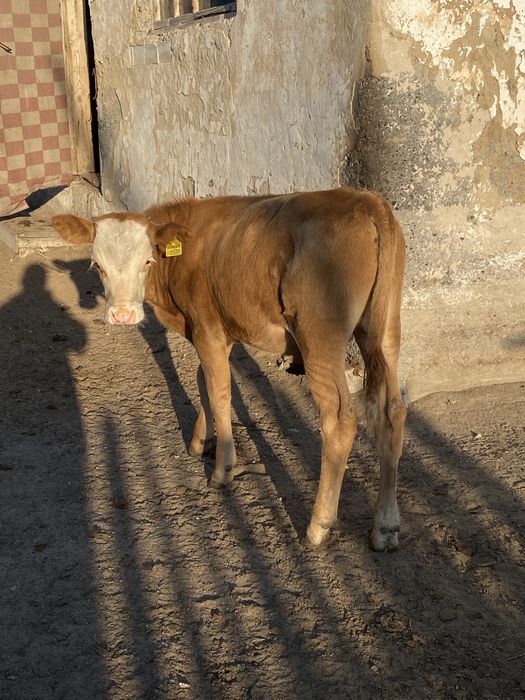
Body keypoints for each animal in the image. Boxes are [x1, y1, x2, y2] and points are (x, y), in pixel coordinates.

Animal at [52, 187, 407, 550]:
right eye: (97, 265)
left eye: (147, 261)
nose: (122, 315)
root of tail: (365, 200)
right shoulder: (223, 328)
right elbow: (202, 380)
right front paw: (200, 440)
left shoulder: (206, 325)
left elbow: (219, 390)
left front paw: (223, 468)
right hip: (385, 330)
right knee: (392, 412)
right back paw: (386, 526)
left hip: (319, 335)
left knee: (339, 421)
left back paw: (318, 525)